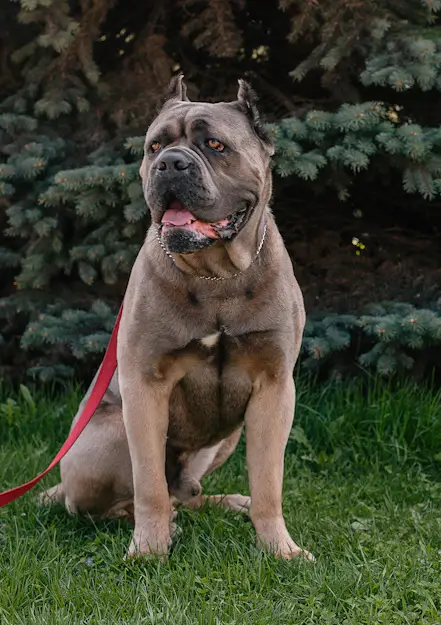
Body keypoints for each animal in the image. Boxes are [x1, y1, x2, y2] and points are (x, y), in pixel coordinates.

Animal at [39, 74, 312, 560]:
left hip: (226, 437)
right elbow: (149, 483)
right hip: (105, 441)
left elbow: (268, 483)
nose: (171, 164)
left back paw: (226, 502)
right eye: (153, 147)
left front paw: (280, 549)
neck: (216, 275)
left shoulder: (274, 388)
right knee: (124, 501)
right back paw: (162, 523)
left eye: (215, 145)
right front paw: (149, 549)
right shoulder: (146, 387)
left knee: (189, 492)